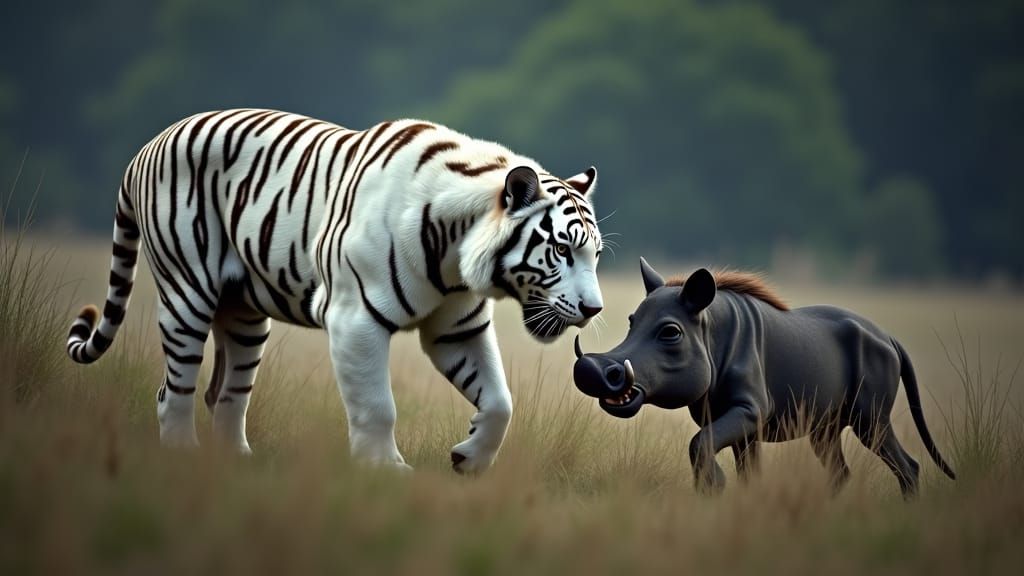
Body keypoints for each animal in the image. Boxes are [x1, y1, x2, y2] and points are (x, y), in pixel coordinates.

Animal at [65, 109, 603, 473]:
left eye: (595, 255)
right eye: (561, 249)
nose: (595, 309)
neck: (456, 253)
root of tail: (148, 145)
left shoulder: (457, 327)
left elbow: (499, 402)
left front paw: (468, 458)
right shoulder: (355, 318)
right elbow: (377, 406)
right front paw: (384, 471)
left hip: (243, 315)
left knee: (227, 393)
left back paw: (239, 463)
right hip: (187, 292)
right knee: (172, 391)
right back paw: (183, 455)